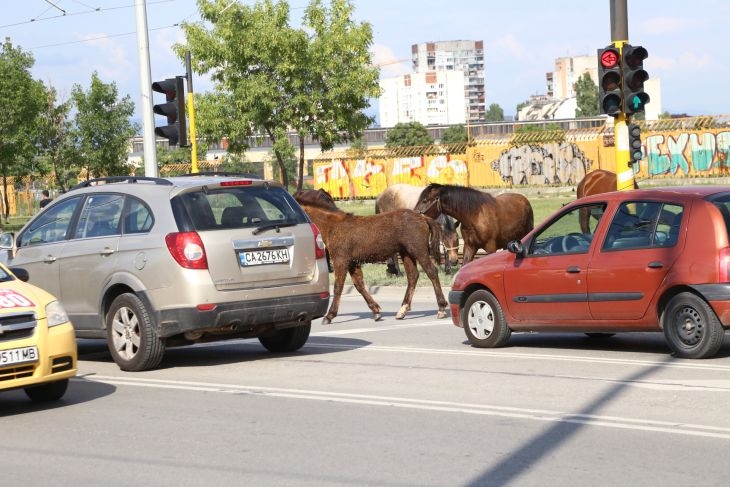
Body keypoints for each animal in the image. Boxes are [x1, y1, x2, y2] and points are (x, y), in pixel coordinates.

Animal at [294, 197, 444, 324]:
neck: (333, 226)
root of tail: (423, 217)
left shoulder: (341, 261)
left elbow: (338, 287)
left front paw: (329, 316)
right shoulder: (353, 263)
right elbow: (359, 285)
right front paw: (376, 311)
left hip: (419, 251)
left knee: (432, 272)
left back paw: (441, 308)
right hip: (406, 253)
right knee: (413, 276)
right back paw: (402, 310)